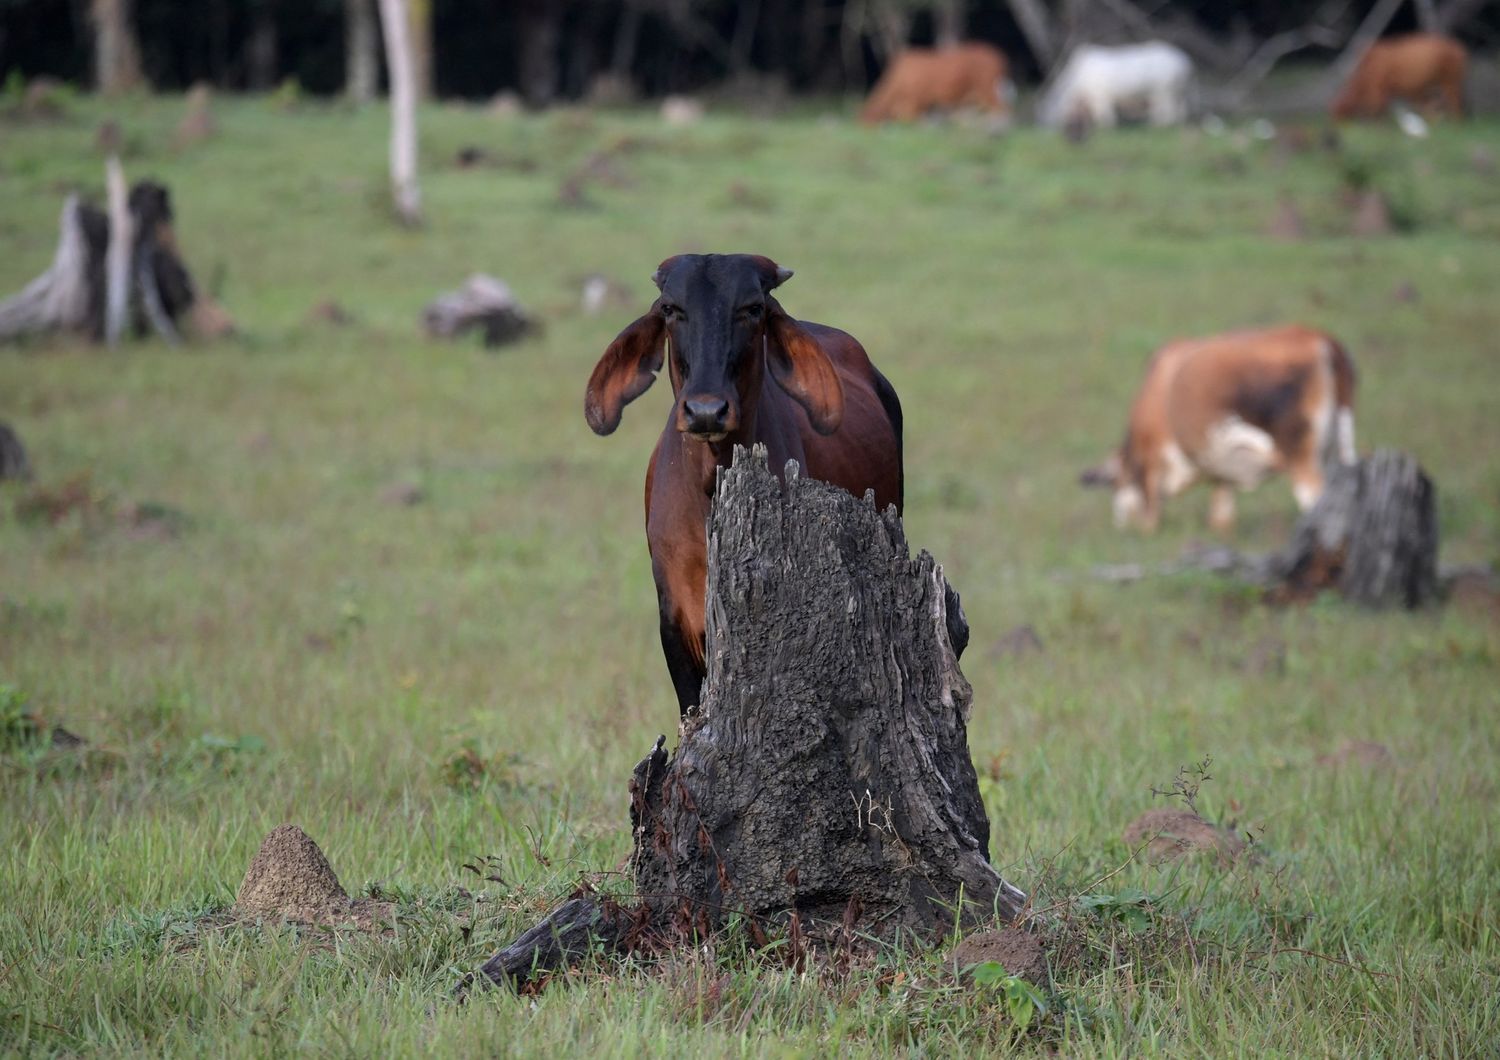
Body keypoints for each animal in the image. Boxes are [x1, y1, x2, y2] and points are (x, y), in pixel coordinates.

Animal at [1044, 42, 1194, 130]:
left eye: (1049, 113)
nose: (1046, 130)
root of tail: (1184, 62)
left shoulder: (1099, 96)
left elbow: (1103, 114)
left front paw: (1106, 128)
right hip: (1178, 91)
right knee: (1180, 110)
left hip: (1164, 90)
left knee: (1167, 110)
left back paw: (1159, 126)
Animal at [1080, 323, 1362, 533]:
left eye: (1114, 482)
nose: (1120, 525)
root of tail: (1319, 337)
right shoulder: (1221, 468)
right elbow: (1221, 515)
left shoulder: (1151, 459)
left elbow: (1151, 507)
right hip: (1338, 453)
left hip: (1300, 456)